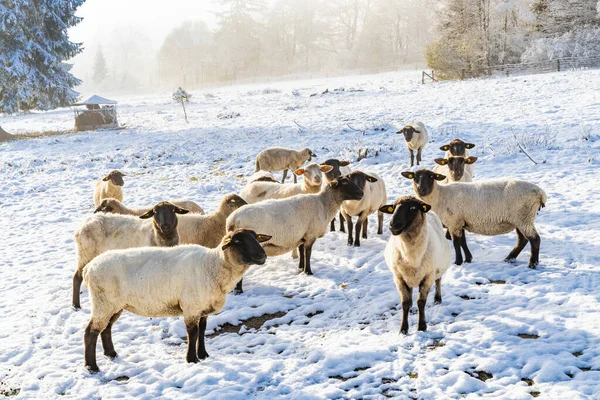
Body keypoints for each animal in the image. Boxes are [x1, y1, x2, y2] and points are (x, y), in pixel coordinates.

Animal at [82, 228, 272, 372]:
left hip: (114, 305)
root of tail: (88, 267)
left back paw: (111, 354)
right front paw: (192, 359)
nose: (263, 256)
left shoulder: (202, 307)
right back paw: (92, 367)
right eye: (238, 241)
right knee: (91, 332)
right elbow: (193, 333)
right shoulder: (191, 306)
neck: (213, 265)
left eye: (256, 238)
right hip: (103, 302)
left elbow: (202, 330)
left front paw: (203, 355)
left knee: (106, 328)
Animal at [225, 173, 366, 294]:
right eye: (345, 184)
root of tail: (232, 220)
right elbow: (308, 253)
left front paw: (300, 269)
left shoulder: (301, 235)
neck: (323, 204)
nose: (362, 193)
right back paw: (238, 290)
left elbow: (301, 251)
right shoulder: (310, 235)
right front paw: (308, 272)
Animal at [380, 195, 450, 332]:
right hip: (409, 276)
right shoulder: (399, 278)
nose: (392, 225)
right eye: (393, 207)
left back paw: (437, 299)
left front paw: (422, 326)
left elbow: (421, 302)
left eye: (412, 208)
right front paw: (403, 329)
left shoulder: (428, 277)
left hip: (438, 268)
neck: (411, 257)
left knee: (438, 281)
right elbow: (405, 303)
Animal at [400, 169, 548, 268]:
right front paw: (468, 259)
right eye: (414, 177)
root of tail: (540, 193)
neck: (440, 196)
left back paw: (532, 264)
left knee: (534, 239)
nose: (421, 189)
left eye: (431, 176)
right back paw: (509, 258)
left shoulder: (454, 222)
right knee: (522, 239)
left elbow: (456, 243)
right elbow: (463, 241)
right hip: (519, 219)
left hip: (524, 217)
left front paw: (458, 262)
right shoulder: (461, 221)